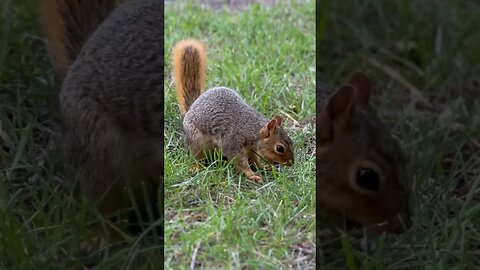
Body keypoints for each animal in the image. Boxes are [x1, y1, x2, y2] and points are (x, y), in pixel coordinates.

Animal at [171, 39, 294, 184]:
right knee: (196, 155)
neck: (252, 129)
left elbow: (255, 160)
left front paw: (262, 167)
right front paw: (252, 175)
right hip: (195, 139)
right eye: (280, 148)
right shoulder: (233, 143)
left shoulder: (251, 150)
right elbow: (240, 163)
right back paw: (196, 167)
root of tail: (191, 108)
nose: (291, 163)